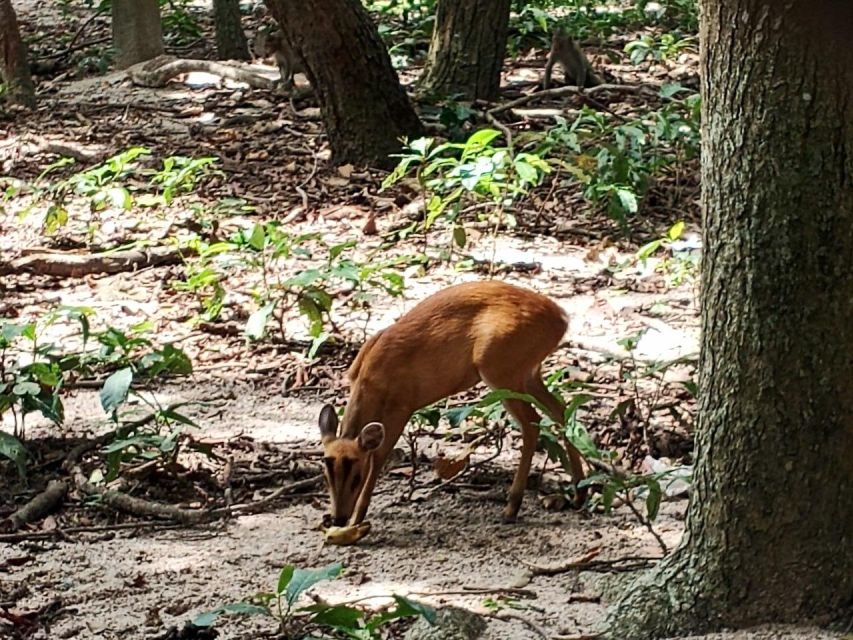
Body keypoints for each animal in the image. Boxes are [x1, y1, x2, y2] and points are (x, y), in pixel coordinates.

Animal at [316, 282, 588, 528]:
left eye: (356, 476)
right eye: (326, 474)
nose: (338, 519)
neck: (371, 380)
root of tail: (561, 319)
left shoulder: (402, 406)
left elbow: (379, 456)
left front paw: (358, 519)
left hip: (500, 368)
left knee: (532, 423)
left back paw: (512, 508)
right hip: (528, 372)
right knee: (560, 410)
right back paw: (578, 494)